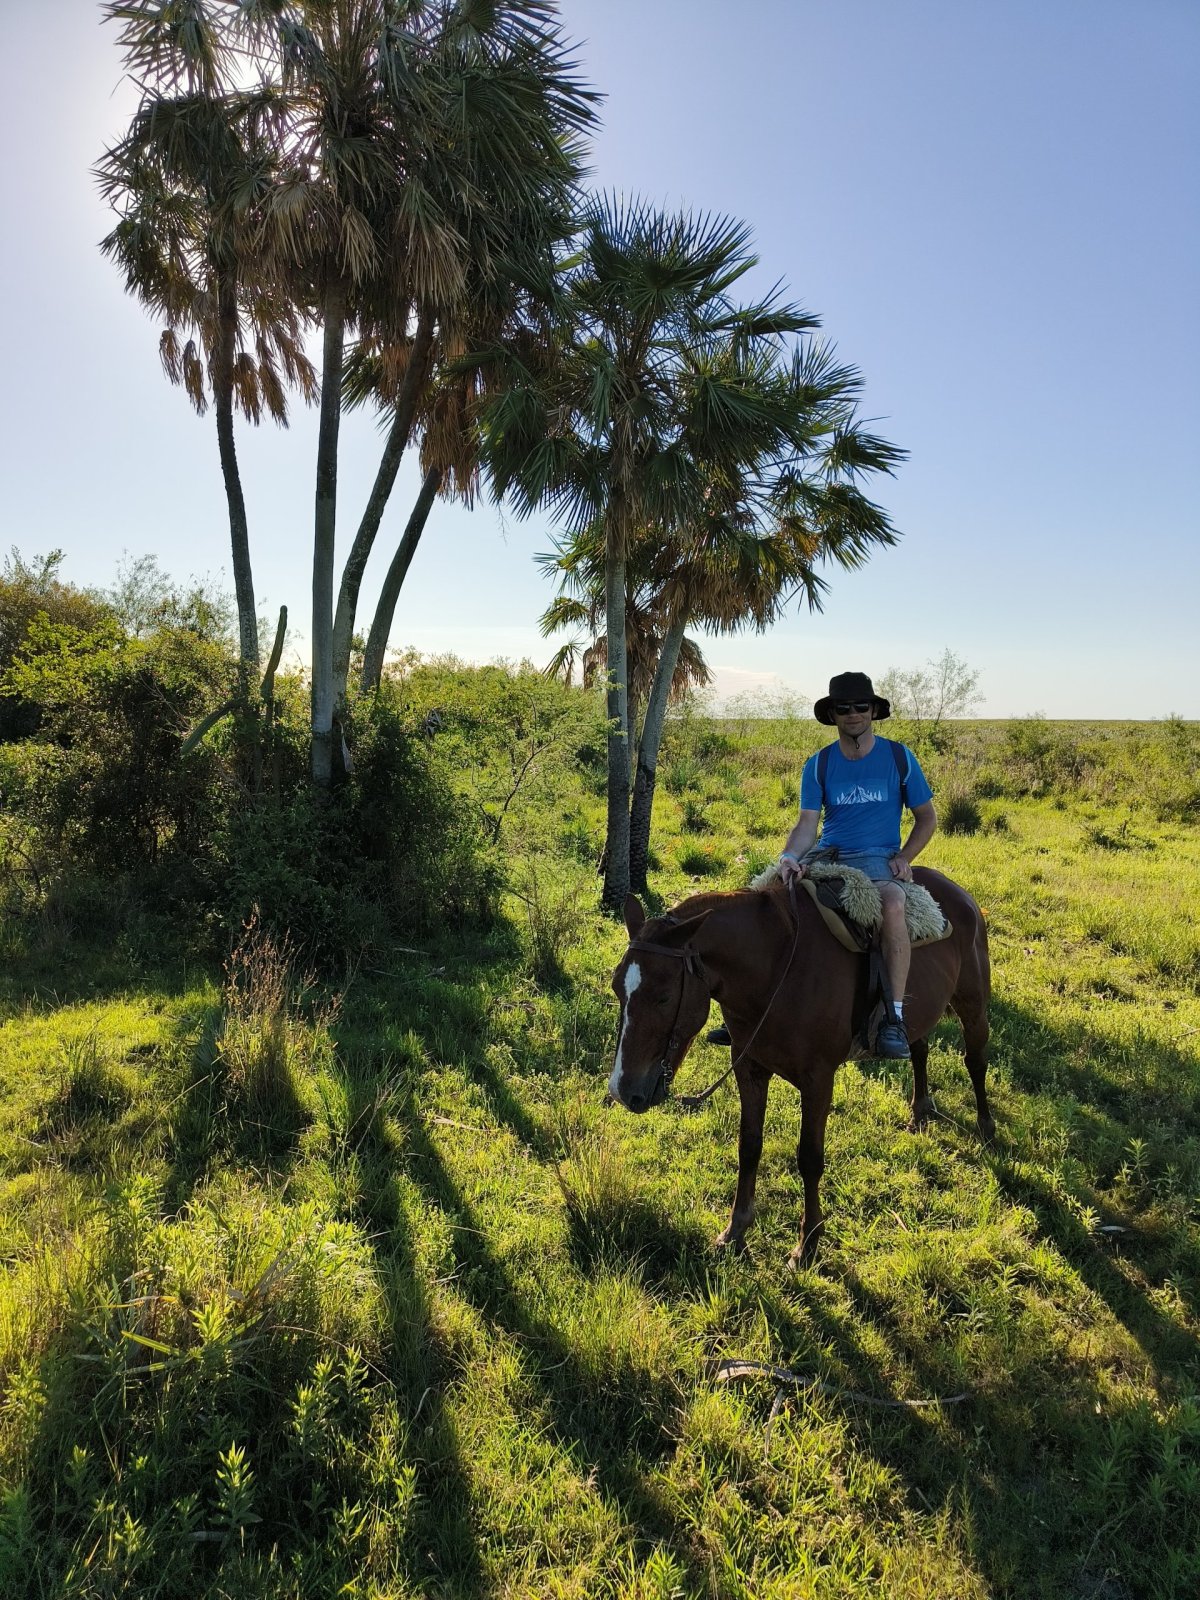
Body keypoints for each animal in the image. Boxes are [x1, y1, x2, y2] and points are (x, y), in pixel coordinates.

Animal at [611, 870, 998, 1267]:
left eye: (663, 997)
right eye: (616, 989)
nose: (623, 1091)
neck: (775, 970)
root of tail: (962, 897)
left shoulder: (818, 1081)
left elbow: (809, 1158)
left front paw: (808, 1244)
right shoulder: (749, 1067)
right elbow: (749, 1145)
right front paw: (735, 1230)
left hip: (973, 1005)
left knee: (976, 1061)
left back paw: (986, 1127)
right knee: (919, 1048)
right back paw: (919, 1111)